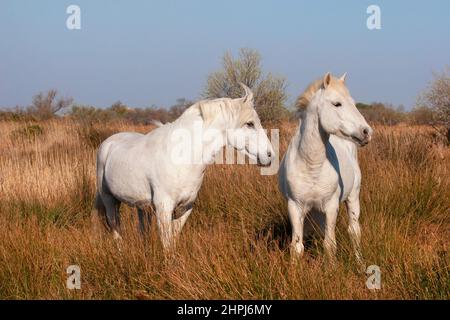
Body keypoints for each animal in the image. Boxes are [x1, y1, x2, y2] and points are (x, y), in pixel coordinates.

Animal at [95, 85, 274, 250]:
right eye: (249, 124)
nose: (270, 155)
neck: (182, 158)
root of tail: (108, 143)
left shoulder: (185, 208)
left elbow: (174, 240)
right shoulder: (164, 208)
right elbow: (167, 244)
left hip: (142, 206)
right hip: (109, 200)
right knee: (116, 229)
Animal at [278, 72, 372, 262]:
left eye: (353, 102)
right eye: (337, 103)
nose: (366, 132)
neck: (311, 164)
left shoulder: (331, 206)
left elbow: (329, 244)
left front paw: (331, 267)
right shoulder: (295, 207)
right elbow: (297, 246)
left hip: (353, 197)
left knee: (354, 231)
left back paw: (359, 261)